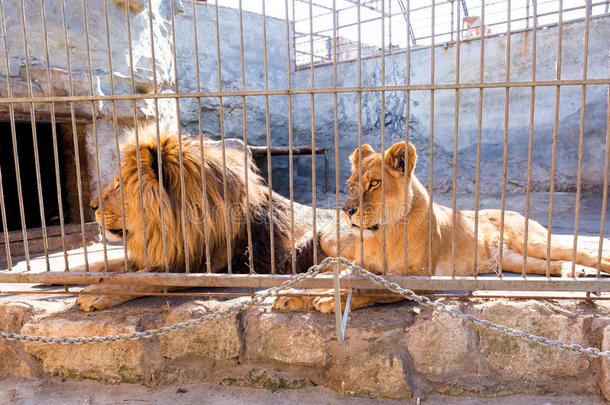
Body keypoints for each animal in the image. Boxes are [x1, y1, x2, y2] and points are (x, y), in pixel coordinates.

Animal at [77, 128, 314, 310]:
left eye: (119, 185)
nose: (91, 206)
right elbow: (105, 264)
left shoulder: (207, 267)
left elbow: (142, 280)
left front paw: (94, 292)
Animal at [274, 140, 604, 310]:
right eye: (350, 185)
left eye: (375, 183)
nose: (347, 211)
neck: (385, 233)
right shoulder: (360, 263)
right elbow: (327, 275)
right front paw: (292, 295)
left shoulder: (420, 279)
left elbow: (372, 290)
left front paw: (329, 300)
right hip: (513, 258)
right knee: (551, 264)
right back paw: (573, 273)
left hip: (531, 240)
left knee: (584, 252)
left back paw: (589, 274)